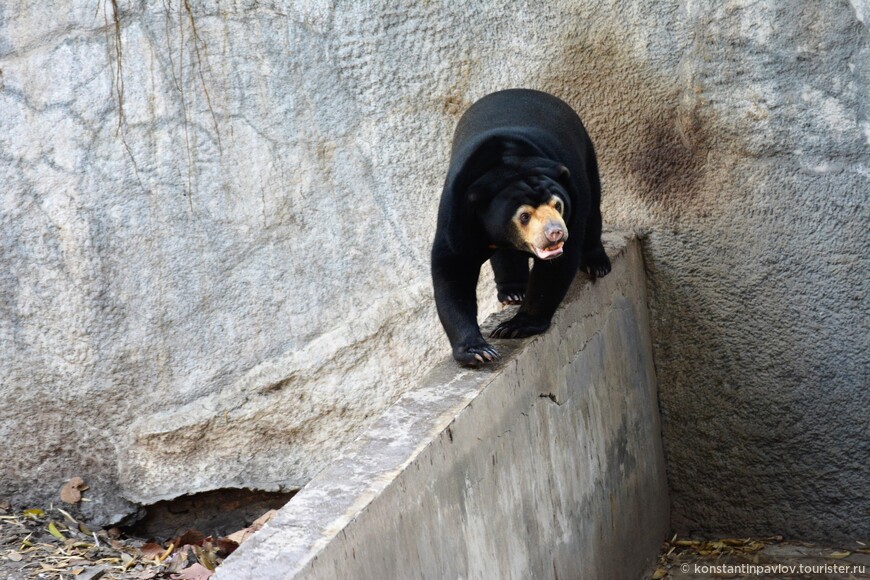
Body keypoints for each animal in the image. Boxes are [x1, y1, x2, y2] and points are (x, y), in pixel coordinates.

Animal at [430, 88, 608, 364]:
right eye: (524, 216)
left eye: (558, 205)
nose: (556, 233)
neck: (508, 166)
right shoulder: (458, 213)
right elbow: (453, 269)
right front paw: (478, 351)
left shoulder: (572, 193)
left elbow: (555, 270)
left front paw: (514, 327)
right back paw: (513, 292)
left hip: (586, 152)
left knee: (592, 210)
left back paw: (597, 264)